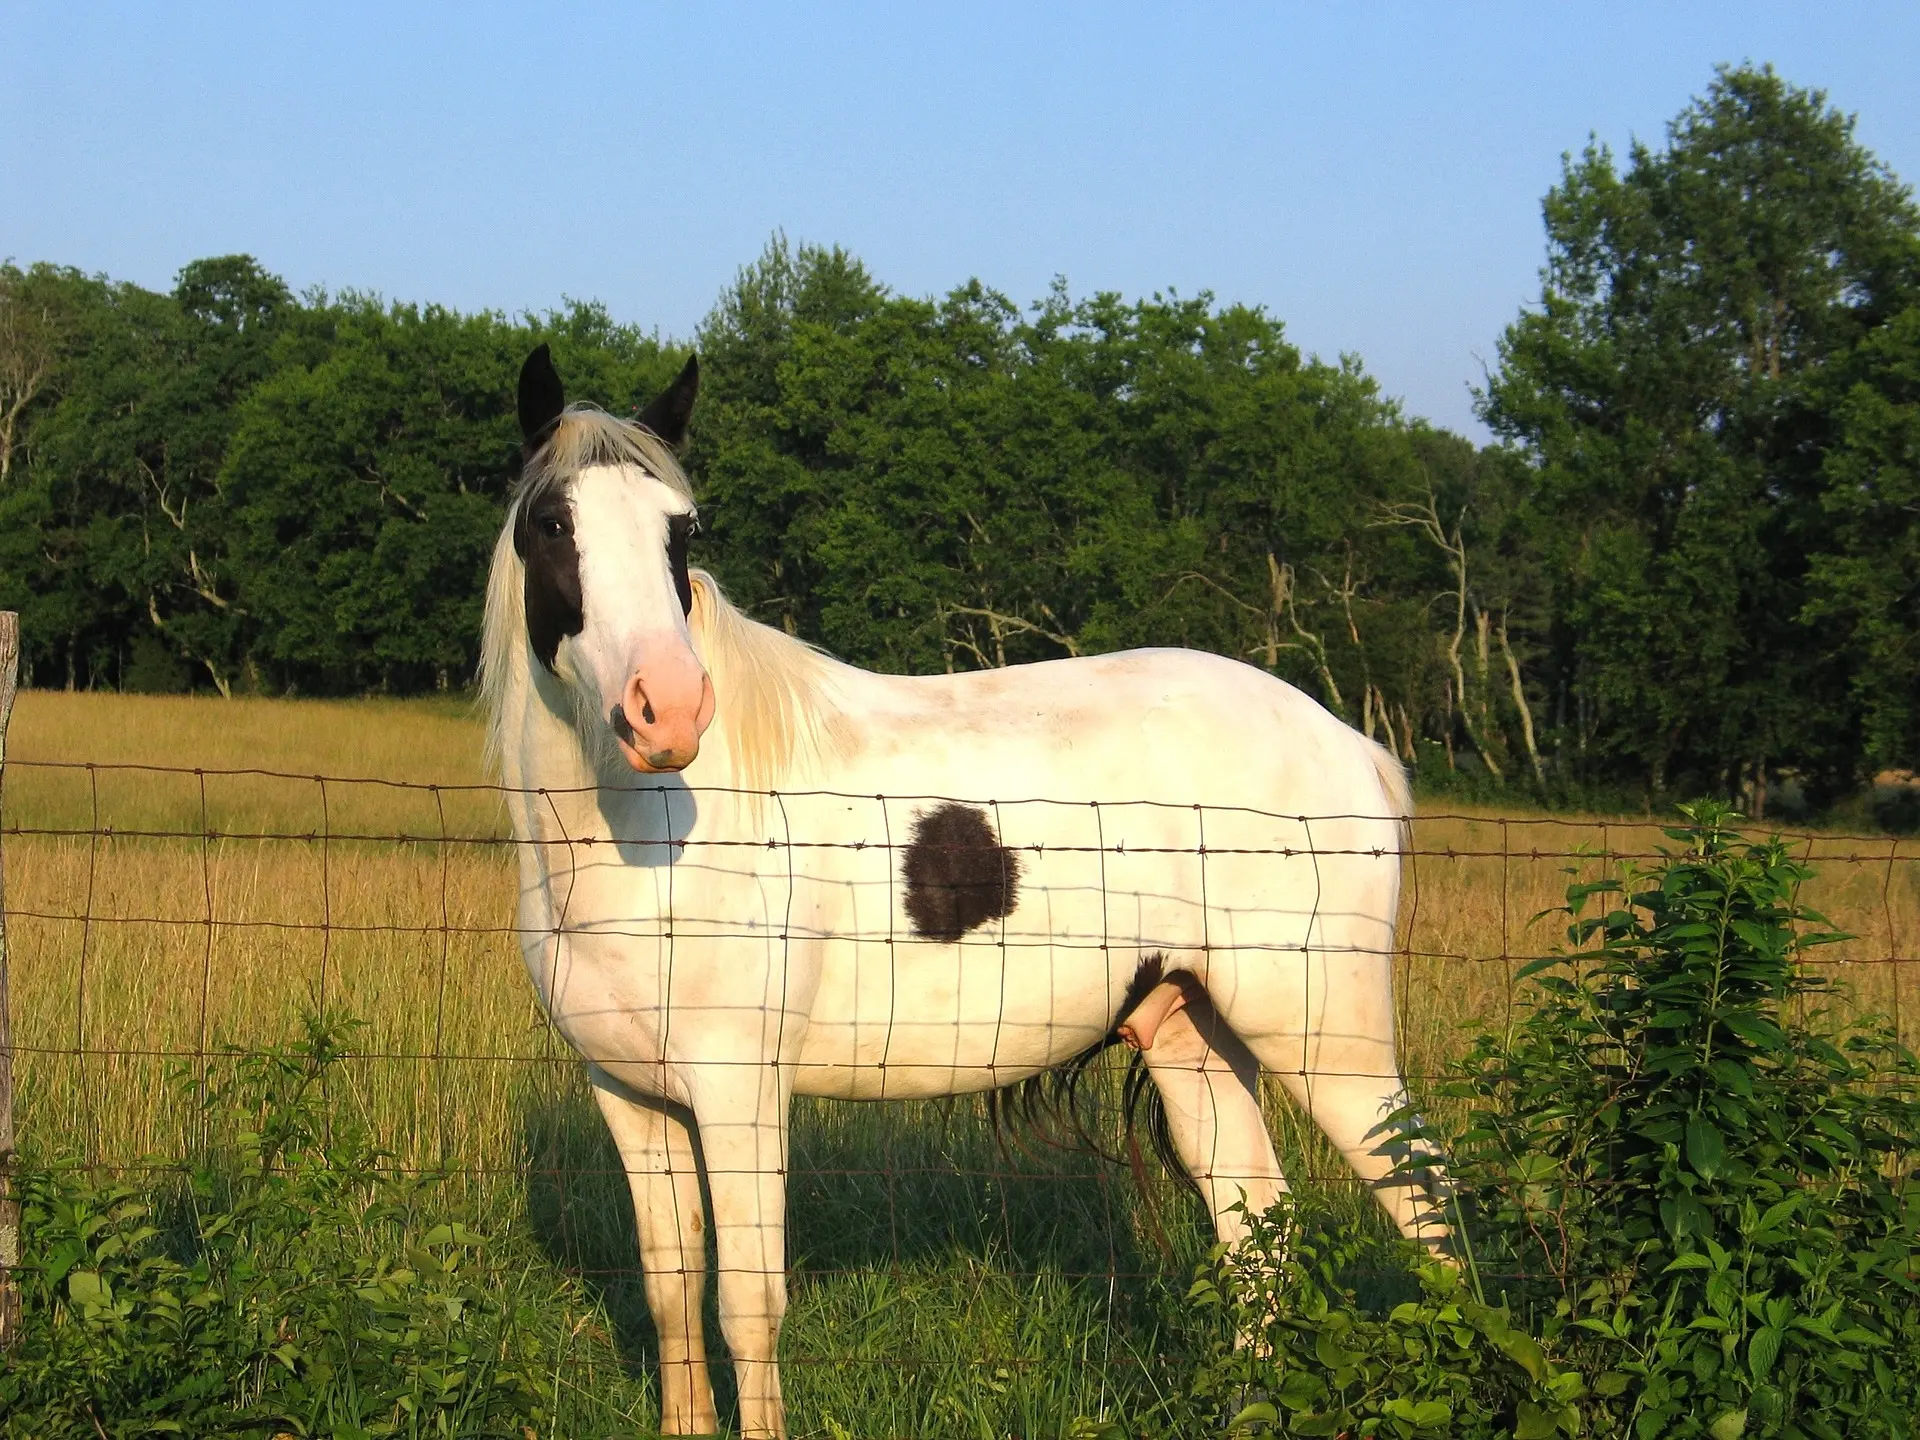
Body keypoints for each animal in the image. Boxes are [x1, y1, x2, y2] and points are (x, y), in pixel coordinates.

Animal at [480, 343, 1443, 1436]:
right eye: (554, 524)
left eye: (681, 530)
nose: (669, 711)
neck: (651, 829)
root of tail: (1355, 746)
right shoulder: (632, 1098)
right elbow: (673, 1290)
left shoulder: (739, 1094)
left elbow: (747, 1306)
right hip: (1193, 1034)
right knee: (1257, 1232)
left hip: (1328, 1042)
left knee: (1427, 1211)